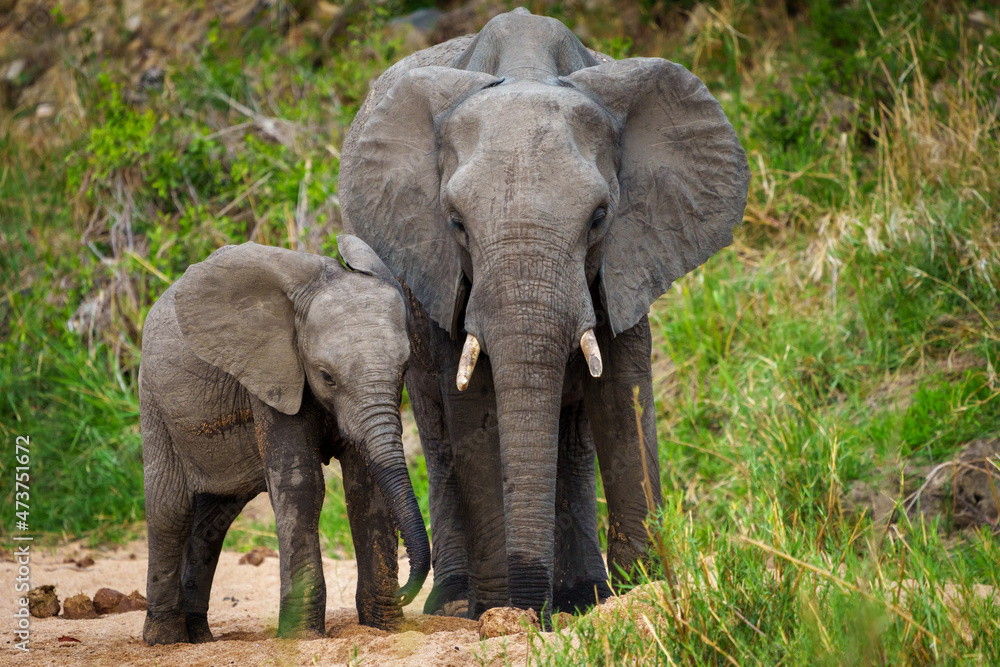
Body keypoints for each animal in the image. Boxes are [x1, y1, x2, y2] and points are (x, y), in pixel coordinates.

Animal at [139, 237, 428, 644]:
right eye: (326, 376)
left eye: (404, 370)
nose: (405, 592)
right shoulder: (270, 371)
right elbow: (301, 485)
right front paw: (300, 636)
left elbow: (367, 488)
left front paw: (385, 628)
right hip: (154, 398)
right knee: (169, 509)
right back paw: (167, 640)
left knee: (213, 520)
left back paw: (200, 638)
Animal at [338, 7, 752, 620]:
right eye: (456, 223)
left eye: (599, 217)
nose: (534, 609)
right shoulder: (442, 270)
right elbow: (474, 411)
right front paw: (496, 613)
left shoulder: (628, 255)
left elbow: (624, 395)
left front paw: (647, 590)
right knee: (438, 438)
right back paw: (455, 602)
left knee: (574, 441)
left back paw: (584, 597)